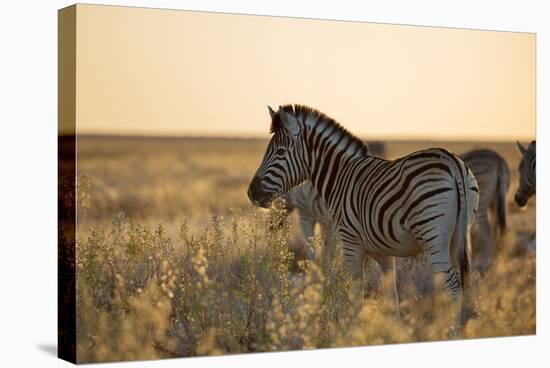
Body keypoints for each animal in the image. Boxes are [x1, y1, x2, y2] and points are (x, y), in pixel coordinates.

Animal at [248, 105, 480, 324]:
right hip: (456, 237)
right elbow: (391, 296)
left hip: (433, 237)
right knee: (457, 285)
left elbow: (355, 294)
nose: (252, 192)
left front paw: (352, 328)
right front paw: (393, 330)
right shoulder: (382, 251)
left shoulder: (350, 243)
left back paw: (450, 331)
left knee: (452, 287)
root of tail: (453, 162)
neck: (340, 177)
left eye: (280, 152)